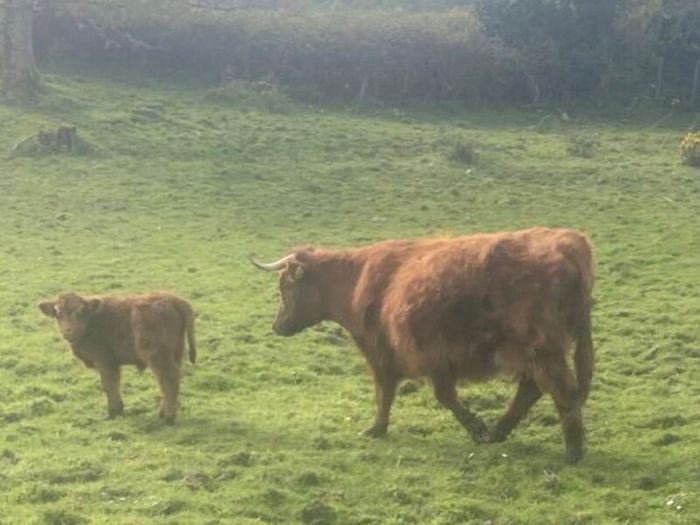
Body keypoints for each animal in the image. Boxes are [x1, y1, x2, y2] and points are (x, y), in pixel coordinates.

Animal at [38, 291, 196, 424]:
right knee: (168, 381)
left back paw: (169, 418)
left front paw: (113, 412)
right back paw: (163, 413)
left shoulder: (104, 362)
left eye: (80, 312)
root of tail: (172, 299)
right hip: (175, 353)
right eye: (58, 313)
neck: (92, 320)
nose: (68, 330)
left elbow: (109, 385)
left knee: (169, 379)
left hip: (159, 357)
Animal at [251, 227, 594, 463]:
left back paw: (572, 451)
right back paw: (499, 432)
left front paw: (377, 428)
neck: (356, 280)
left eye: (285, 287)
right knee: (533, 388)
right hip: (533, 352)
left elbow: (388, 392)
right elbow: (439, 394)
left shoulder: (384, 351)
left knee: (561, 390)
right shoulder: (434, 358)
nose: (276, 325)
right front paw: (477, 428)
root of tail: (567, 244)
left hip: (542, 349)